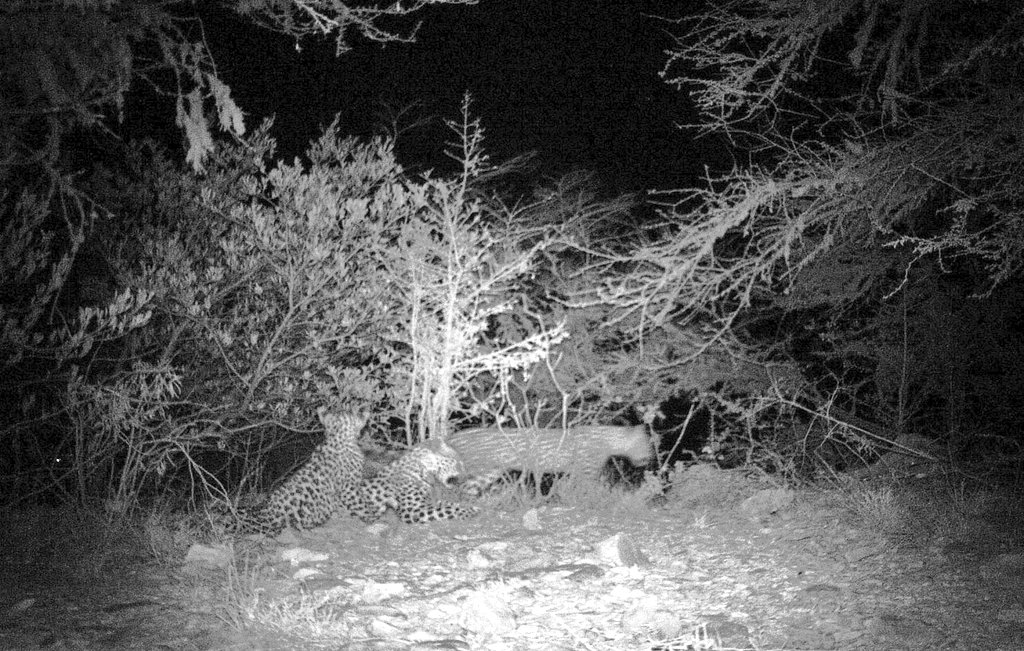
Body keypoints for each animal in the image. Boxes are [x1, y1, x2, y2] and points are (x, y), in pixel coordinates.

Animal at [228, 409, 368, 536]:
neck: (338, 439)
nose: (365, 410)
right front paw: (370, 517)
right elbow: (362, 507)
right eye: (355, 412)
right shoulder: (349, 490)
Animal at [448, 423, 655, 495]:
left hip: (490, 471)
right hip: (479, 469)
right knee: (460, 487)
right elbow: (596, 489)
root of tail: (456, 435)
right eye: (647, 443)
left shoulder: (576, 472)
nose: (651, 456)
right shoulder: (587, 472)